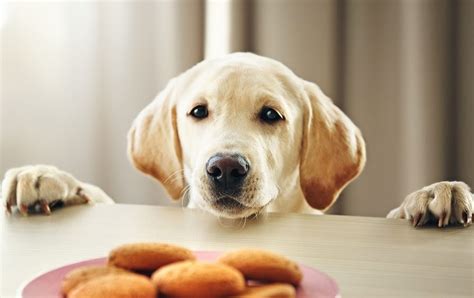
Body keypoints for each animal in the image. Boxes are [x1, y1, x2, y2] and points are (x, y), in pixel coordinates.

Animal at [1, 52, 472, 227]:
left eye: (271, 115)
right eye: (198, 112)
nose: (226, 167)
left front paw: (435, 193)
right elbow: (96, 196)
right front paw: (48, 178)